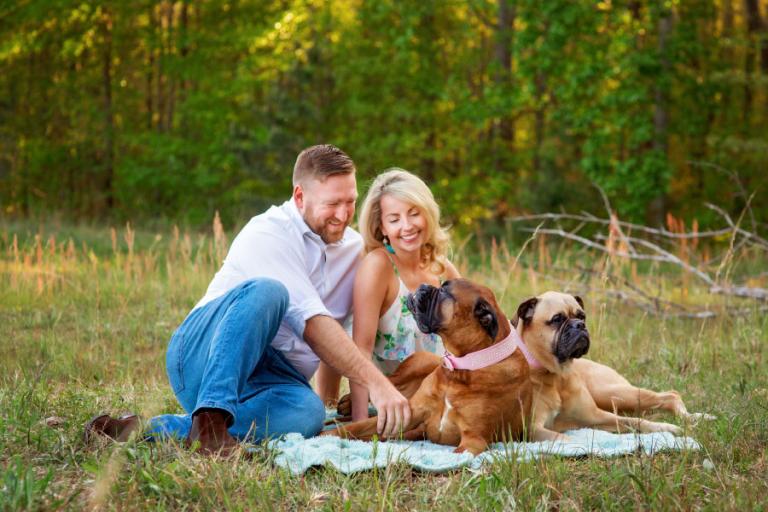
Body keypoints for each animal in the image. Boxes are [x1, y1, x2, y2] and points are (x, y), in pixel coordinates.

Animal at [320, 278, 532, 454]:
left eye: (445, 292)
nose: (423, 286)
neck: (460, 368)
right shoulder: (412, 411)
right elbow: (352, 427)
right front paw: (321, 436)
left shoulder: (473, 440)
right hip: (422, 360)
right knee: (386, 384)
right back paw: (347, 403)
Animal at [512, 292, 712, 440]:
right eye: (557, 319)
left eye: (582, 316)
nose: (580, 325)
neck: (557, 376)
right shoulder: (533, 429)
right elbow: (565, 439)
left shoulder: (595, 416)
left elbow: (637, 421)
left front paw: (666, 428)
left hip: (613, 394)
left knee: (670, 395)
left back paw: (691, 417)